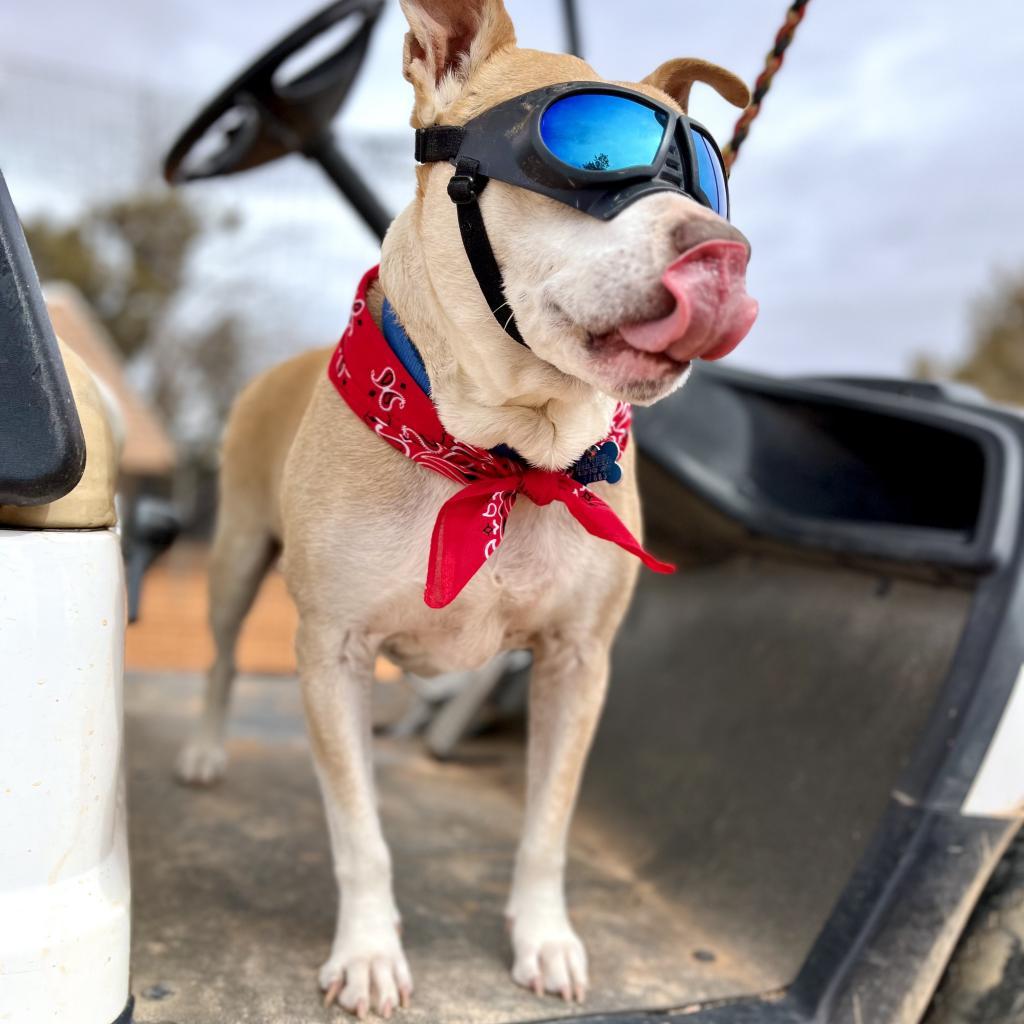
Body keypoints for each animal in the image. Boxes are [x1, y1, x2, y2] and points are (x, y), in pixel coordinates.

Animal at [174, 0, 753, 1015]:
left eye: (712, 179)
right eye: (591, 150)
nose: (723, 252)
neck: (503, 455)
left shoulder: (576, 663)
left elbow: (547, 825)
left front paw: (545, 938)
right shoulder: (331, 652)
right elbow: (359, 834)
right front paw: (368, 952)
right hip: (236, 560)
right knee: (219, 660)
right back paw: (208, 749)